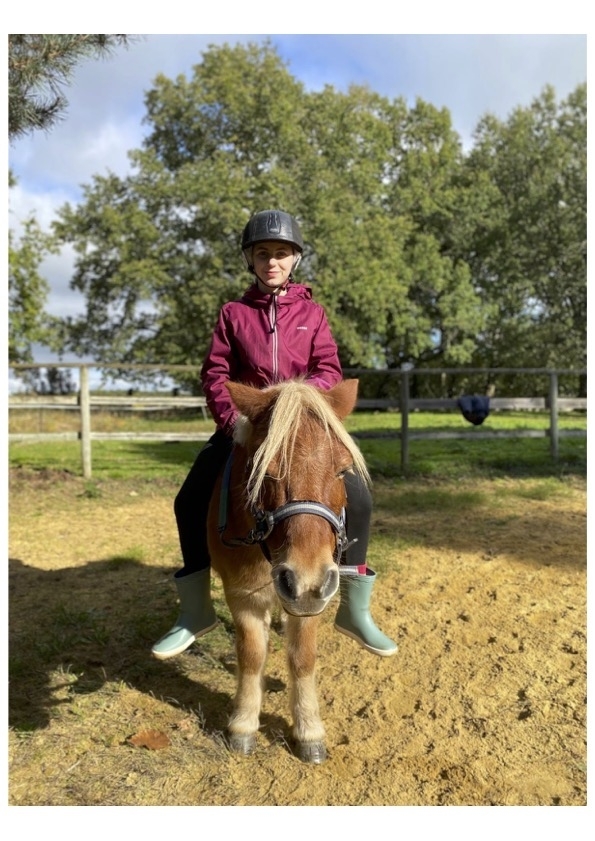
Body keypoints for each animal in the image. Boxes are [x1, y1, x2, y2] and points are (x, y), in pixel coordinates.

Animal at [207, 377, 370, 764]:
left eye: (342, 471)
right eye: (265, 472)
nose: (305, 581)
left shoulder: (313, 598)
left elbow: (302, 658)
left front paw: (309, 730)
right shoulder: (243, 597)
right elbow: (252, 656)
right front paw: (243, 725)